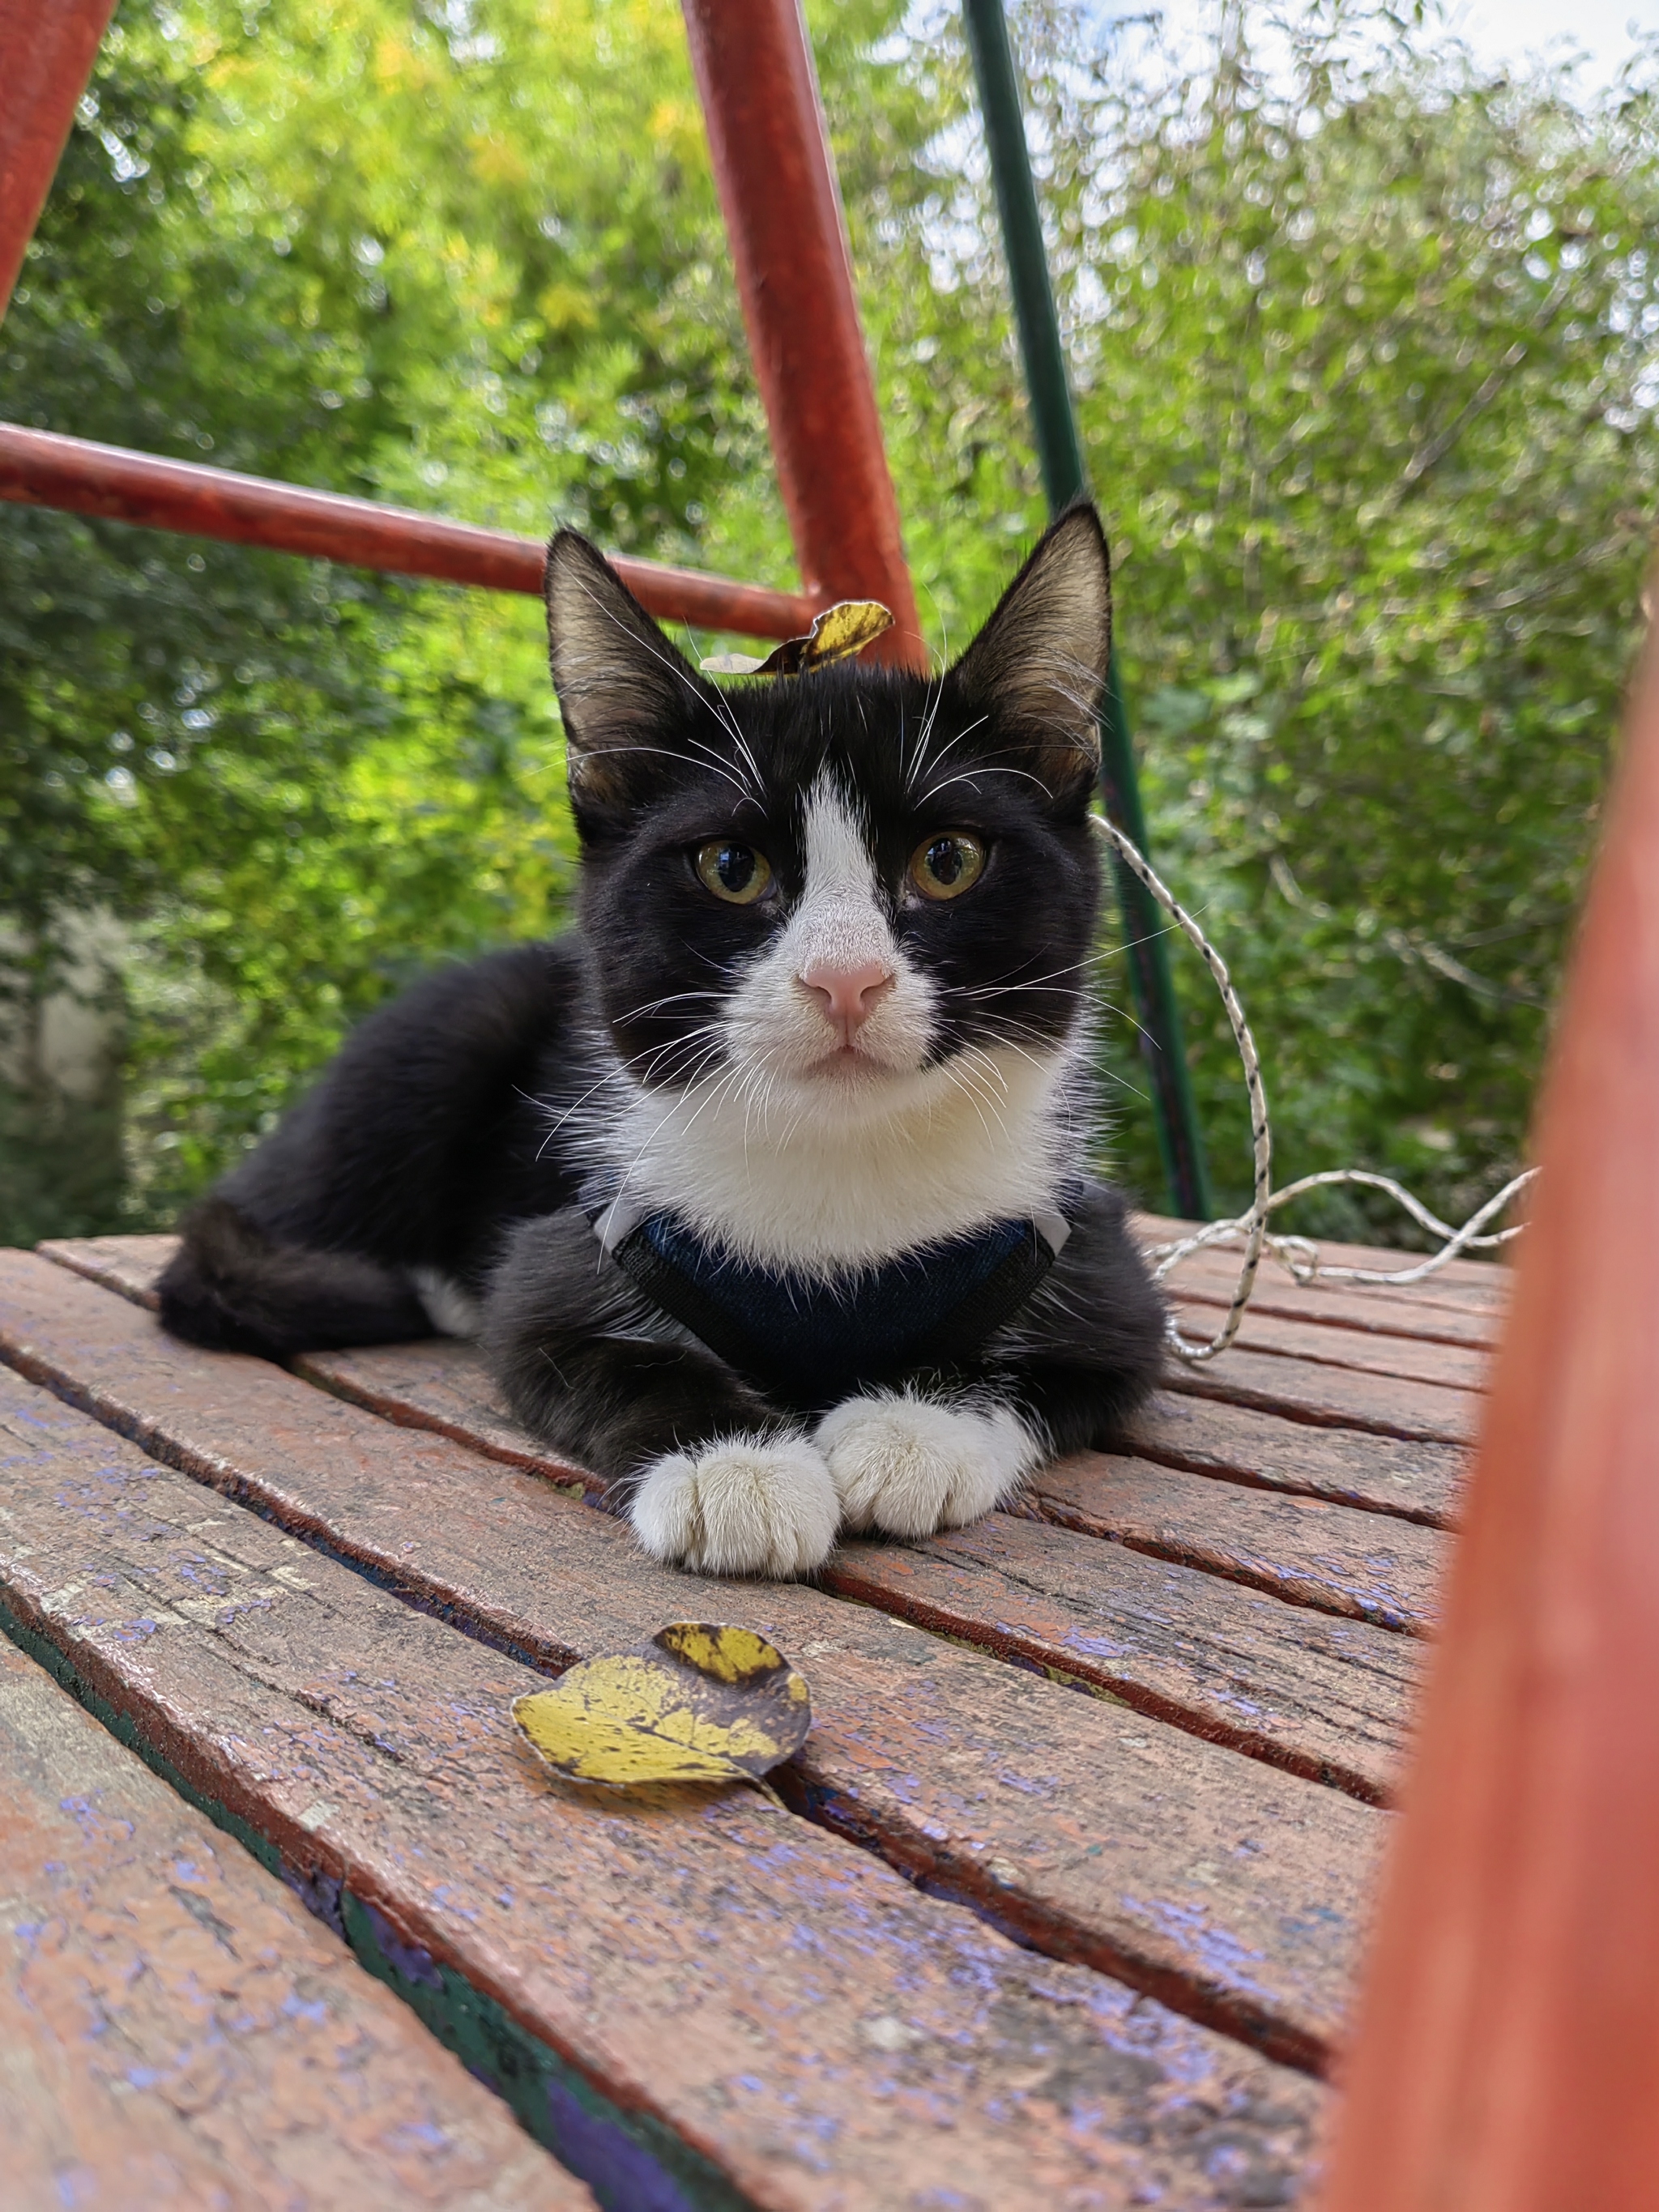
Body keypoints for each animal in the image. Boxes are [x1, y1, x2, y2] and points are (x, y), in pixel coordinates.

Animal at [157, 500, 1167, 1578]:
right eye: (729, 866)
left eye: (947, 860)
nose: (843, 978)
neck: (838, 1167)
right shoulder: (570, 1244)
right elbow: (588, 1345)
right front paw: (735, 1470)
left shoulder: (1095, 1260)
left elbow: (1083, 1356)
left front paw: (910, 1431)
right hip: (443, 1038)